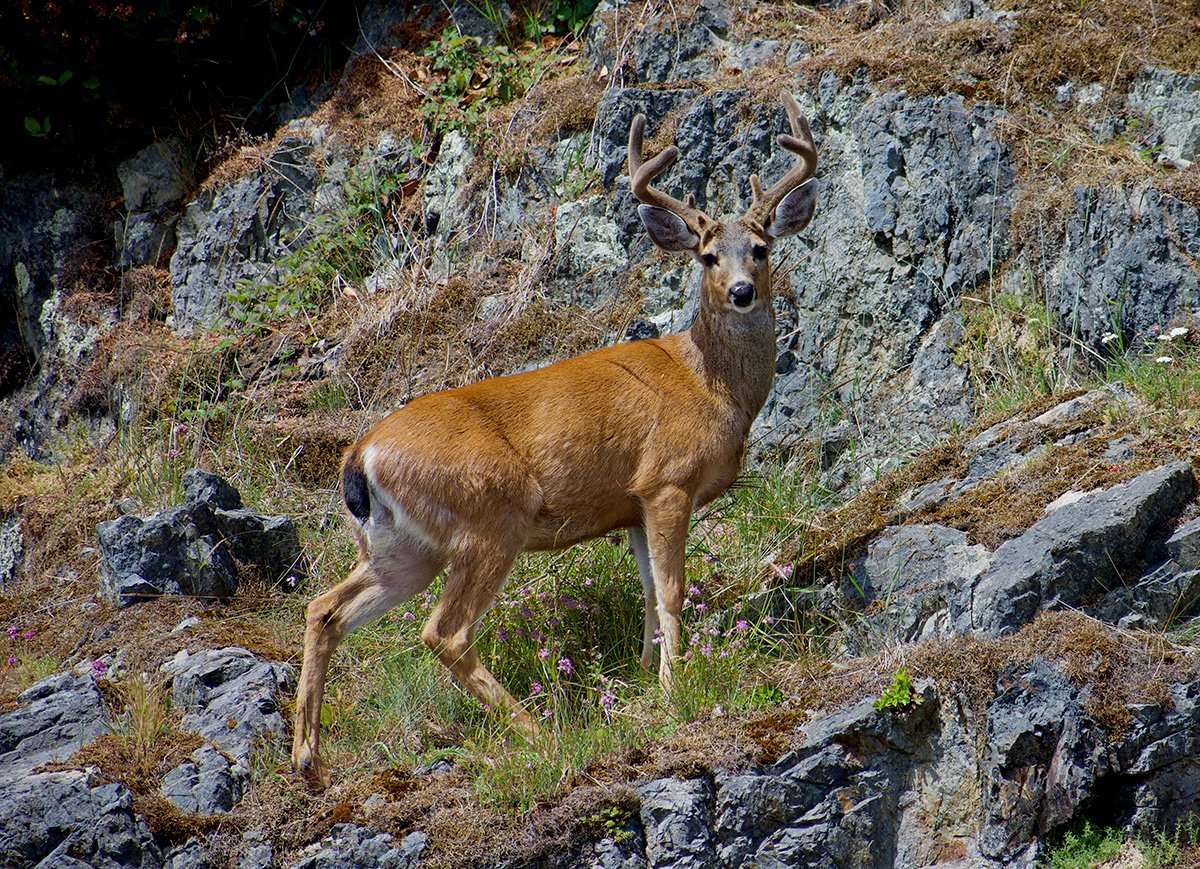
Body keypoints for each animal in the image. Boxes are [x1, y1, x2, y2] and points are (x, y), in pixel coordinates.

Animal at [291, 92, 818, 785]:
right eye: (707, 256)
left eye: (760, 247)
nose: (741, 291)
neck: (713, 387)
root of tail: (361, 454)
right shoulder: (667, 481)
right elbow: (673, 592)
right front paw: (676, 688)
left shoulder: (629, 507)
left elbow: (648, 594)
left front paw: (645, 680)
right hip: (491, 518)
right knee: (443, 632)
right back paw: (539, 733)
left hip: (402, 547)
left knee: (324, 608)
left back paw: (307, 758)